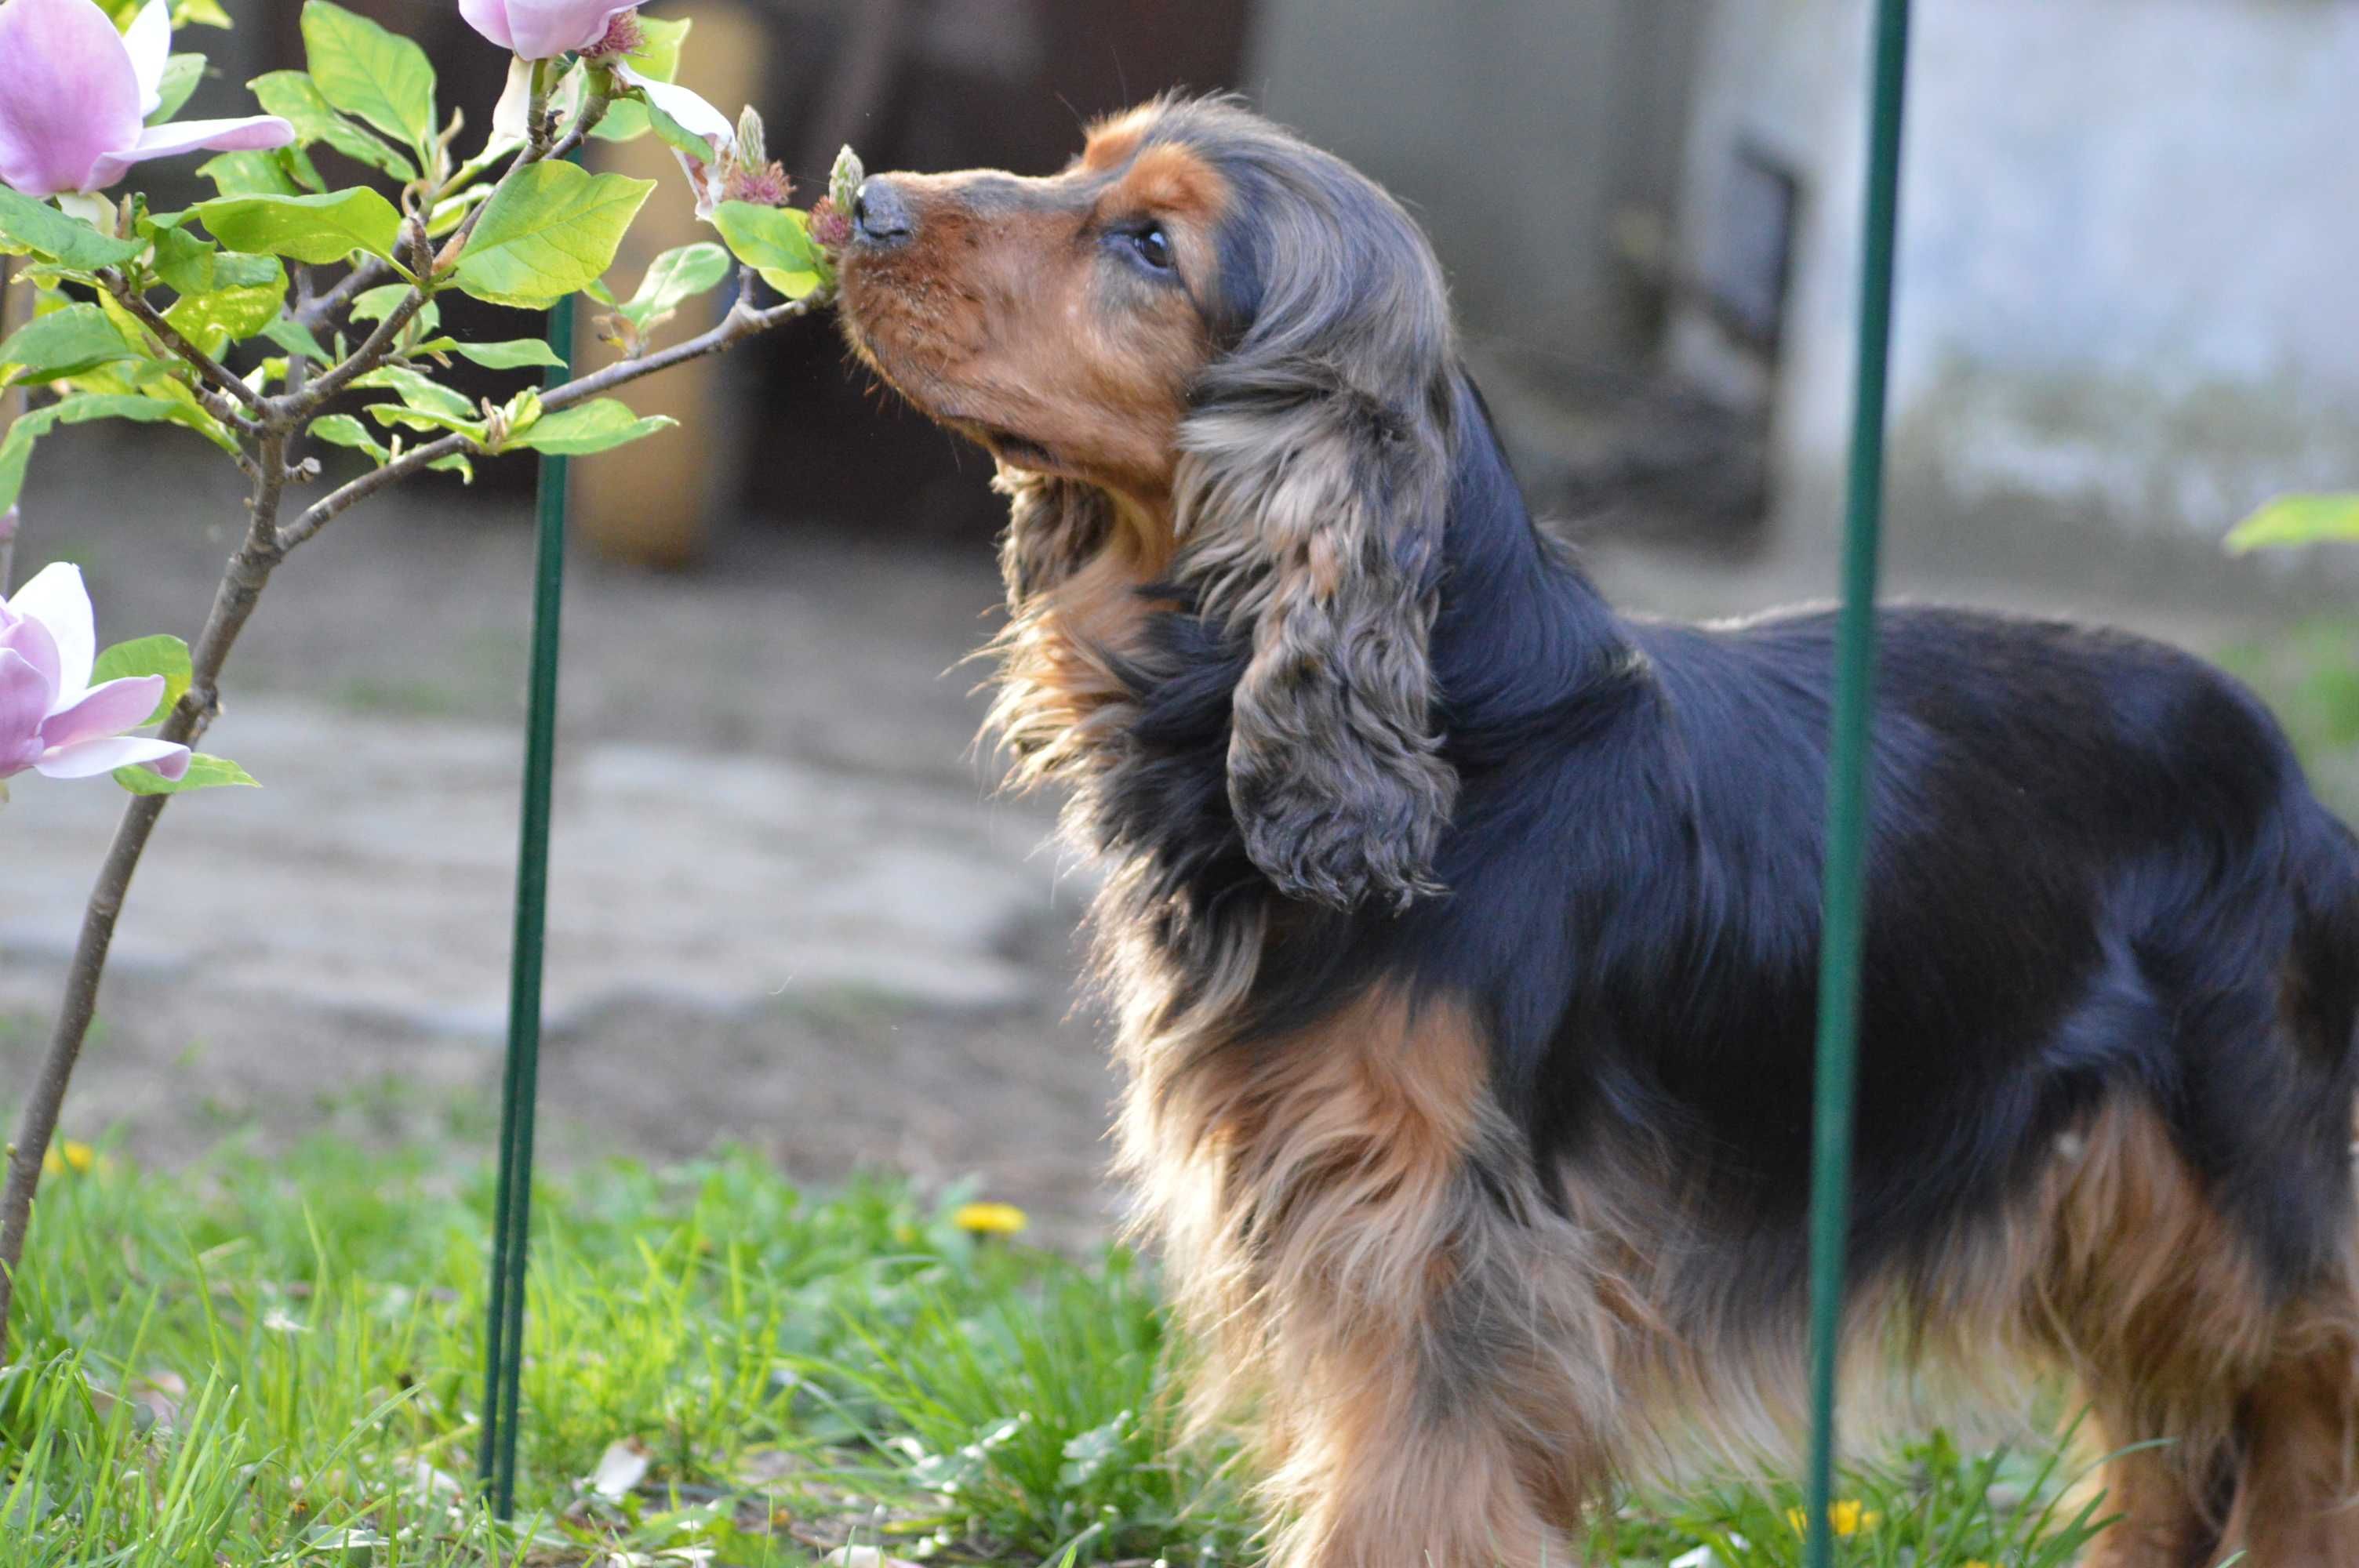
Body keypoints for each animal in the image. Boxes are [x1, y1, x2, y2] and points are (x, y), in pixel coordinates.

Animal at [830, 95, 2359, 1555]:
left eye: (1150, 245)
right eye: (1078, 164)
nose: (866, 203)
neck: (1458, 743)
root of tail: (2297, 790)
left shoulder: (1454, 1259)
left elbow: (1397, 1510)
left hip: (2243, 1208)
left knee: (2301, 1424)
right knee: (2164, 1467)